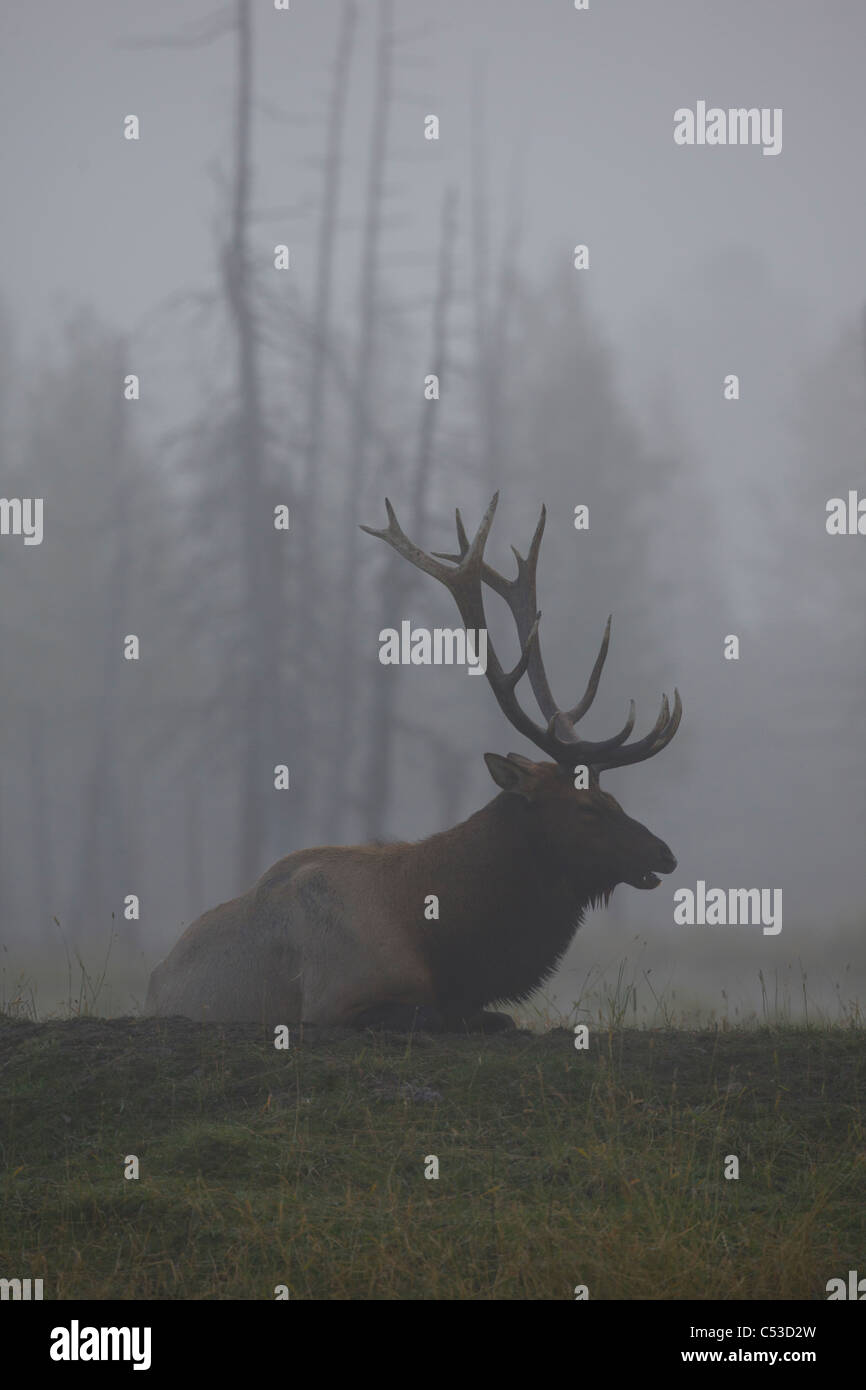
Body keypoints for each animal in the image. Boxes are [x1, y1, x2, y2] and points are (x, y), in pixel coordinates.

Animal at [143, 494, 683, 1028]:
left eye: (613, 798)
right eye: (586, 808)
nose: (665, 854)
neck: (441, 943)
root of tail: (154, 982)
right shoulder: (336, 1001)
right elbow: (472, 1019)